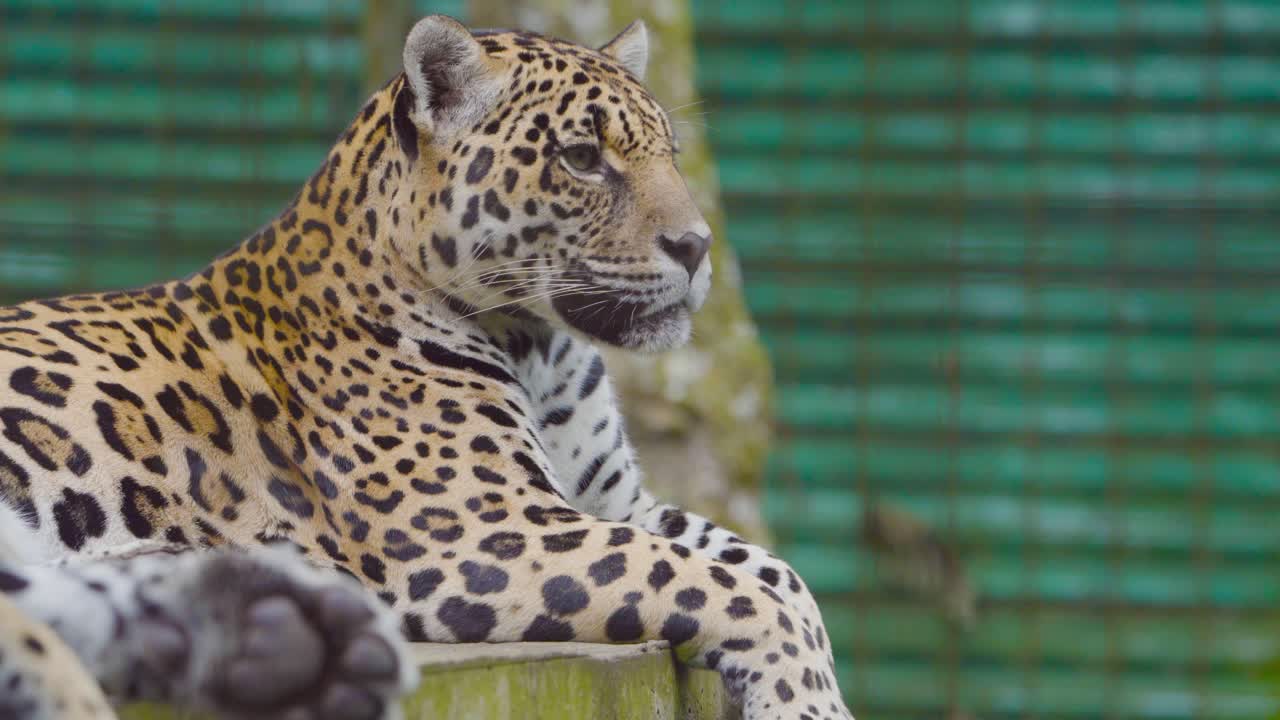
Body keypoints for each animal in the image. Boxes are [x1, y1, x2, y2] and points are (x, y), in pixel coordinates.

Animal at [0, 15, 852, 720]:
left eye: (669, 156)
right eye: (582, 159)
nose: (697, 246)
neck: (542, 349)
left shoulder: (615, 501)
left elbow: (776, 573)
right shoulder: (485, 530)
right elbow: (723, 583)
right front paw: (807, 707)